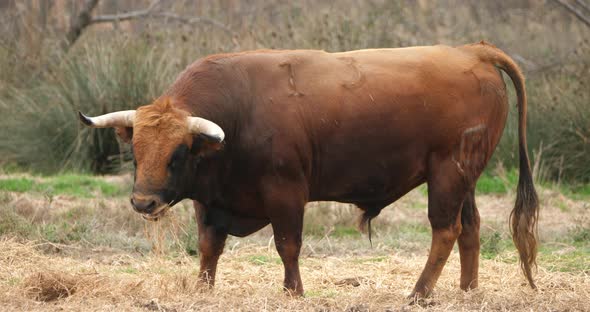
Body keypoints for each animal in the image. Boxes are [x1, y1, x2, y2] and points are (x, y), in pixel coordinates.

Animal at [80, 42, 540, 300]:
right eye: (135, 151)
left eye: (178, 153)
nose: (143, 203)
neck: (239, 112)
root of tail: (471, 50)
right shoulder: (209, 201)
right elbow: (209, 247)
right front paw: (202, 290)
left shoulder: (286, 193)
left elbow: (288, 246)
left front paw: (292, 292)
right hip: (465, 177)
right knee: (470, 227)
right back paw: (468, 290)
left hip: (447, 173)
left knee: (445, 230)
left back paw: (420, 292)